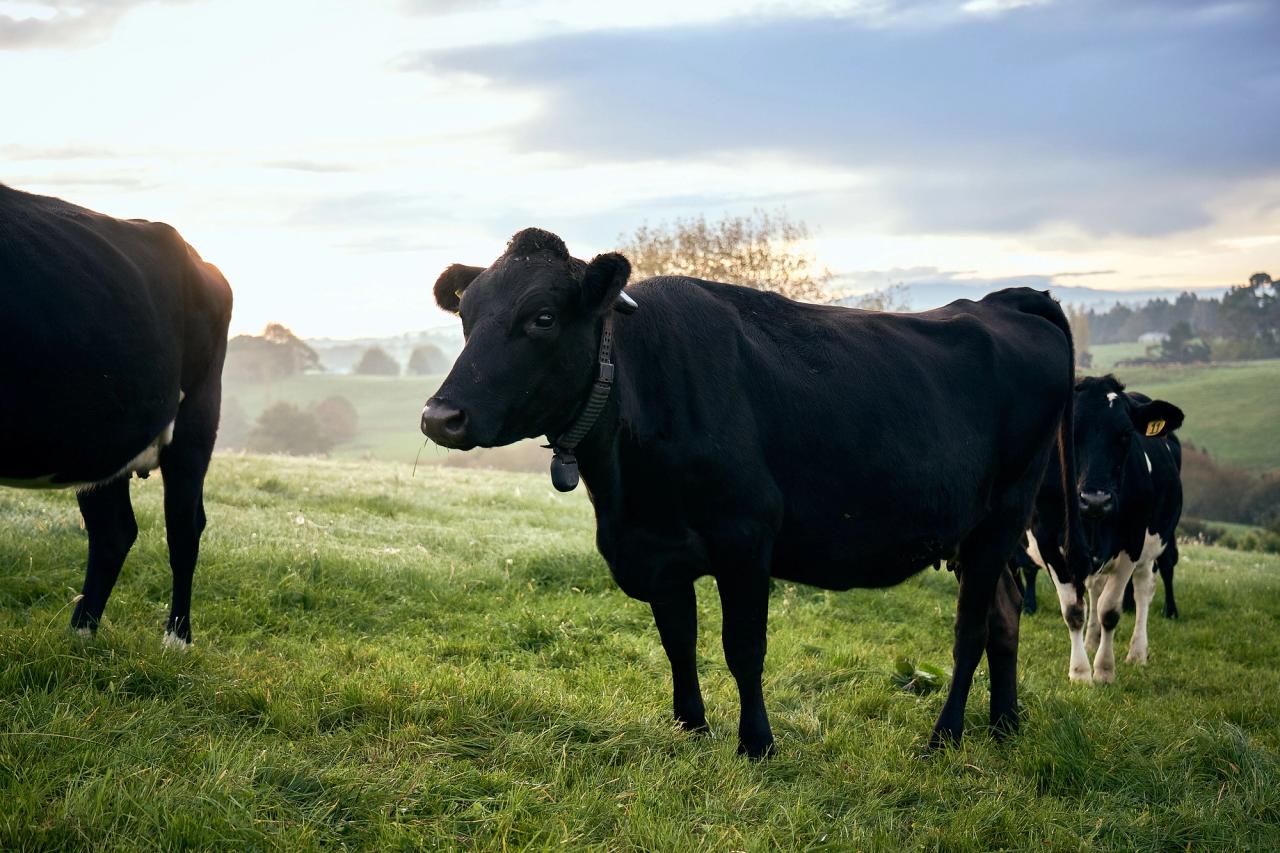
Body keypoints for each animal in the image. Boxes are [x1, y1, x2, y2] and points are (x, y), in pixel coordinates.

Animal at [0, 184, 232, 647]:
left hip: (197, 418)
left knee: (184, 527)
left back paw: (176, 639)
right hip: (96, 439)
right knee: (114, 531)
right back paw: (80, 634)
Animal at [419, 228, 1090, 756]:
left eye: (543, 317)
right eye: (466, 318)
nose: (439, 416)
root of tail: (1008, 301)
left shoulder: (744, 536)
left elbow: (743, 646)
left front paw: (756, 744)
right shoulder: (657, 551)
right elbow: (678, 643)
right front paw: (691, 729)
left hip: (1001, 516)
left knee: (971, 630)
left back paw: (945, 736)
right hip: (980, 532)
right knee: (1005, 616)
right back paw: (1004, 726)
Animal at [1024, 376, 1184, 683]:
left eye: (1126, 434)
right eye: (1069, 432)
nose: (1095, 499)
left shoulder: (1132, 541)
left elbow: (1110, 610)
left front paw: (1104, 670)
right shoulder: (1048, 542)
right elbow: (1074, 610)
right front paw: (1080, 672)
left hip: (1152, 546)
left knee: (1143, 589)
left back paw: (1137, 652)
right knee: (1095, 590)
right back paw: (1090, 641)